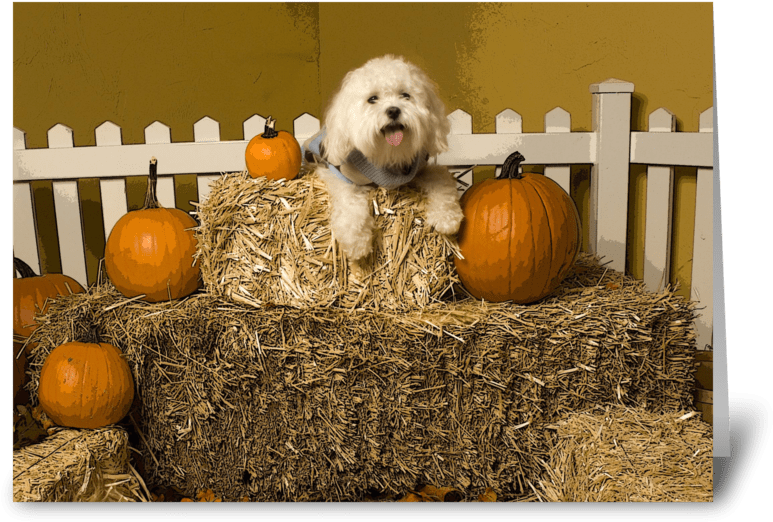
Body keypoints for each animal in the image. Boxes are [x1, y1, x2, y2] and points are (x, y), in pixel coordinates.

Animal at [302, 53, 462, 260]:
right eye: (372, 99)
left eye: (405, 95)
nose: (393, 110)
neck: (387, 157)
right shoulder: (336, 174)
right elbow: (350, 201)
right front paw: (356, 241)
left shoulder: (418, 171)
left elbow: (442, 178)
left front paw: (447, 216)